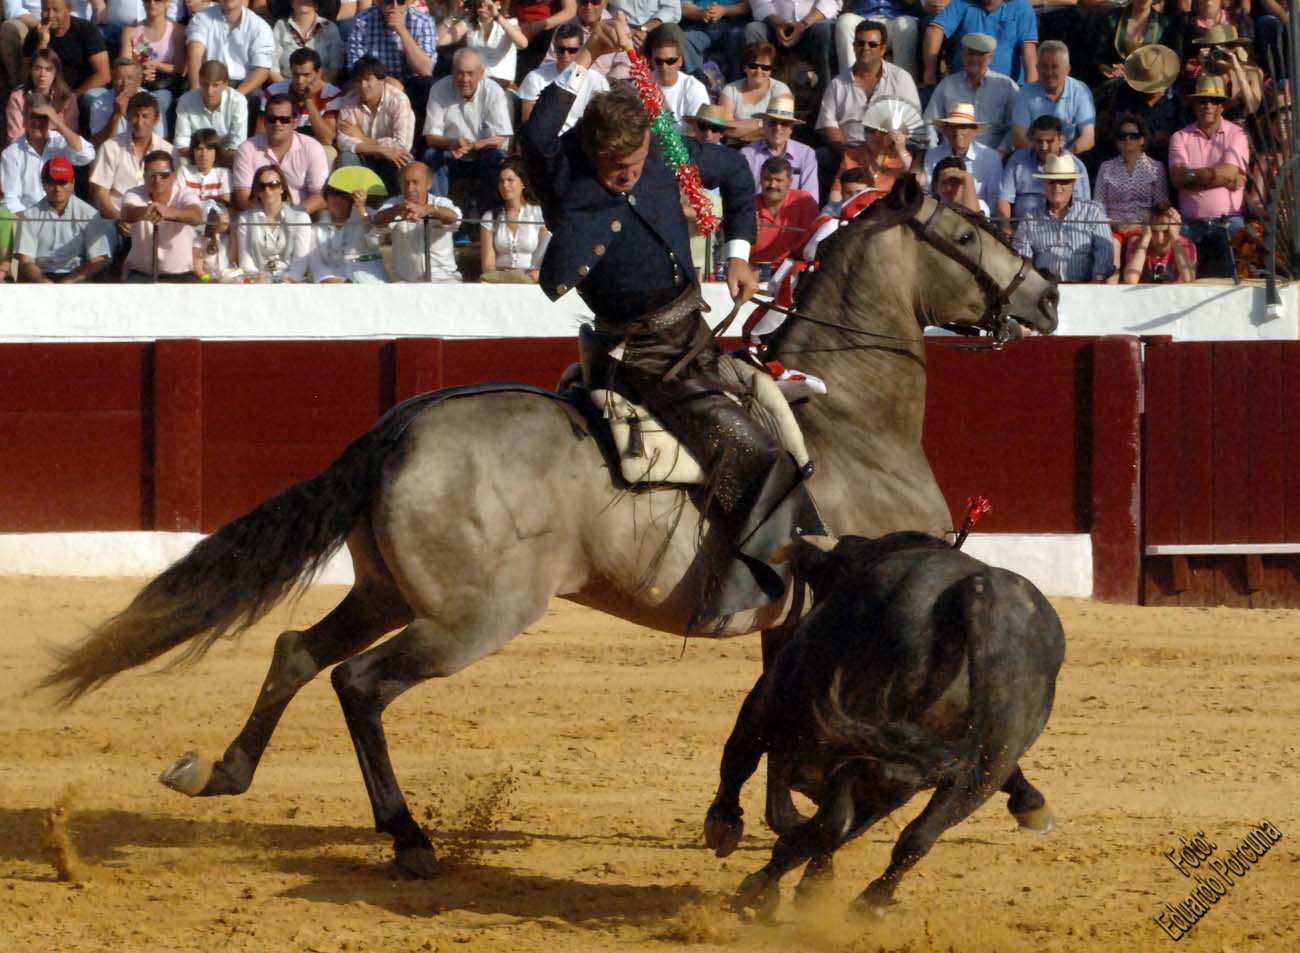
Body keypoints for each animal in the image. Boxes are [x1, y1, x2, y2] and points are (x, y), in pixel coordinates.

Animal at [707, 530, 1060, 910]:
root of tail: (978, 590)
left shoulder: (767, 704)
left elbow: (741, 760)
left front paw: (723, 824)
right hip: (986, 764)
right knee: (916, 833)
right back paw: (865, 900)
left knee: (834, 818)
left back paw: (761, 887)